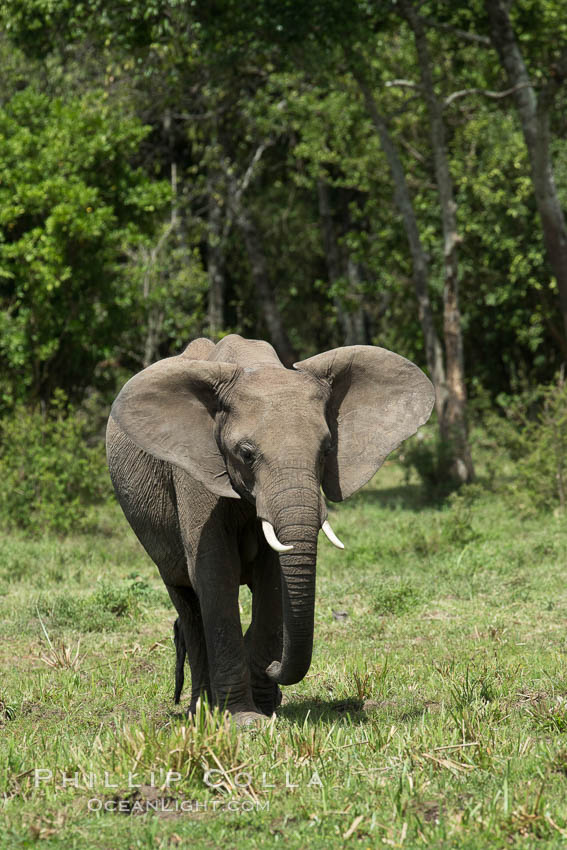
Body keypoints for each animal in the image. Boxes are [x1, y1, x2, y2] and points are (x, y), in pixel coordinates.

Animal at [106, 334, 434, 724]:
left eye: (327, 450)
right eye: (246, 454)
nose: (275, 667)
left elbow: (274, 580)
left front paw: (265, 707)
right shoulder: (196, 472)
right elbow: (215, 573)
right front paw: (245, 720)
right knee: (187, 601)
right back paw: (202, 711)